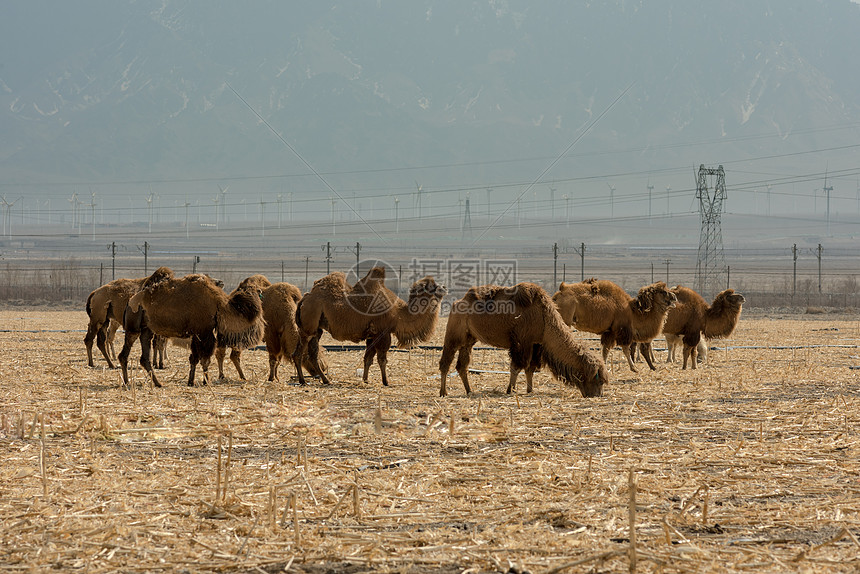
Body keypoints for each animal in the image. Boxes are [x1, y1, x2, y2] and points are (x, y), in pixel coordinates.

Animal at [129, 268, 264, 388]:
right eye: (252, 290)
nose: (221, 282)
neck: (221, 306)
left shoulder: (196, 334)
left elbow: (194, 358)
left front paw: (191, 381)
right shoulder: (205, 333)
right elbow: (205, 359)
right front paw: (206, 381)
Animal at [294, 266, 446, 388]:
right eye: (431, 286)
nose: (444, 287)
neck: (399, 313)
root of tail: (305, 298)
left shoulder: (372, 335)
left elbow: (368, 358)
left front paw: (365, 380)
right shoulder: (383, 333)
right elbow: (382, 360)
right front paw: (386, 382)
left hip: (317, 329)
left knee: (313, 354)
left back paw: (326, 380)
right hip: (308, 328)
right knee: (299, 353)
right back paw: (303, 381)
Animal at [440, 284, 608, 400]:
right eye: (598, 380)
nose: (598, 395)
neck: (544, 319)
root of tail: (457, 302)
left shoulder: (536, 344)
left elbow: (530, 369)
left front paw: (529, 390)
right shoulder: (521, 342)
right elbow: (516, 366)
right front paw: (511, 390)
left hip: (469, 340)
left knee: (462, 366)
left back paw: (469, 391)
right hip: (454, 334)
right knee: (446, 361)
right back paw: (443, 392)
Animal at [552, 280, 680, 374]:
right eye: (663, 291)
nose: (674, 296)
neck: (632, 313)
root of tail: (558, 295)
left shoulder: (609, 332)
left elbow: (605, 350)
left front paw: (604, 366)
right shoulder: (621, 331)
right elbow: (625, 349)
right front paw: (634, 368)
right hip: (565, 319)